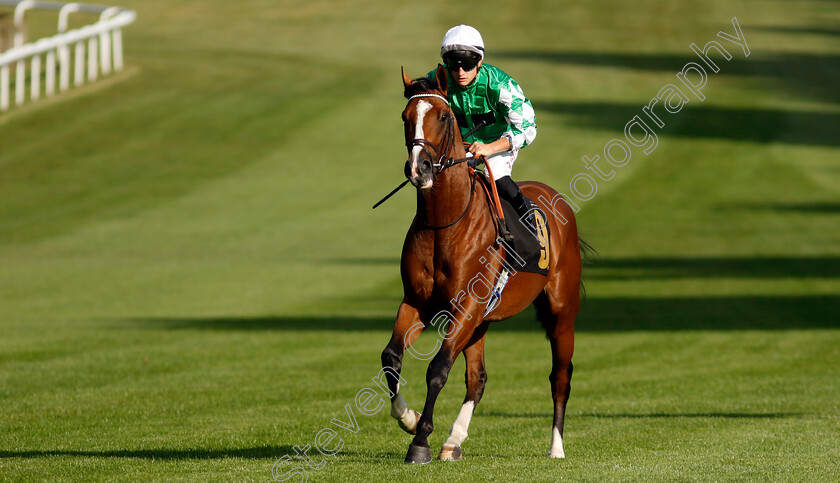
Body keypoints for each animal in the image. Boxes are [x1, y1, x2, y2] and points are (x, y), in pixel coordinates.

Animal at [380, 64, 584, 466]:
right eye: (406, 116)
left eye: (444, 116)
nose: (419, 168)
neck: (445, 223)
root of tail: (557, 200)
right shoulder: (419, 302)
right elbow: (391, 357)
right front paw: (408, 419)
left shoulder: (467, 307)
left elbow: (437, 368)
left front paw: (420, 441)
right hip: (482, 321)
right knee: (478, 378)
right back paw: (453, 440)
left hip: (560, 312)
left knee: (560, 376)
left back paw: (556, 447)